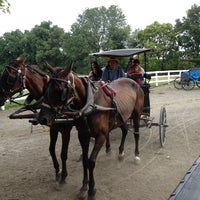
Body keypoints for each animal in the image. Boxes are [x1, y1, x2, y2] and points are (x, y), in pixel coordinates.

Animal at [37, 63, 144, 199]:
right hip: (121, 117)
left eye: (58, 90)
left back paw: (136, 155)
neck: (89, 103)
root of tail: (134, 82)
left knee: (136, 134)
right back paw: (120, 153)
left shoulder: (101, 135)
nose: (42, 118)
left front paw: (92, 190)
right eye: (45, 89)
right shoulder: (83, 135)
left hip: (136, 114)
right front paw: (84, 187)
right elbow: (84, 160)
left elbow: (91, 162)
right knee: (125, 130)